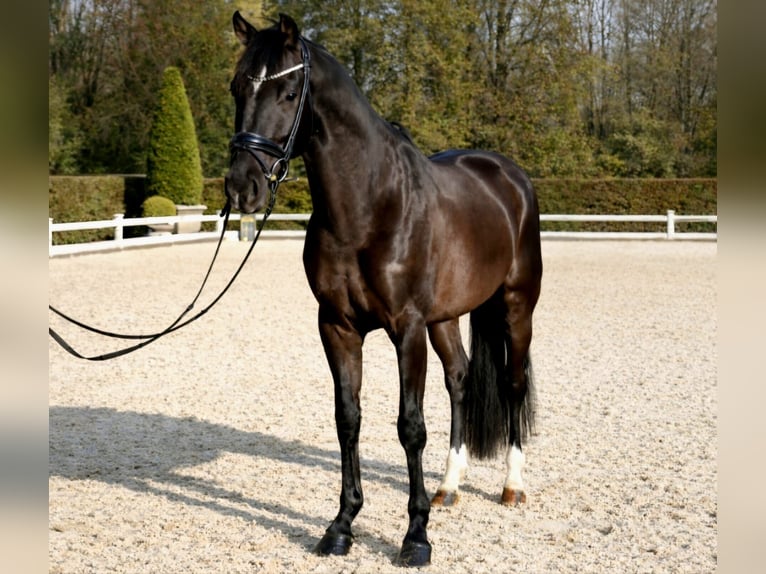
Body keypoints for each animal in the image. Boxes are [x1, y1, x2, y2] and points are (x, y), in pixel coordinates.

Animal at [225, 12, 543, 567]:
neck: (368, 207)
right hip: (447, 318)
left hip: (516, 305)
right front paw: (341, 525)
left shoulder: (406, 329)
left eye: (289, 92)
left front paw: (415, 536)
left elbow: (409, 426)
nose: (243, 188)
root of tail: (508, 174)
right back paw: (449, 486)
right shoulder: (337, 326)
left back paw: (511, 485)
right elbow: (347, 418)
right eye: (237, 87)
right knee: (459, 379)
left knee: (512, 382)